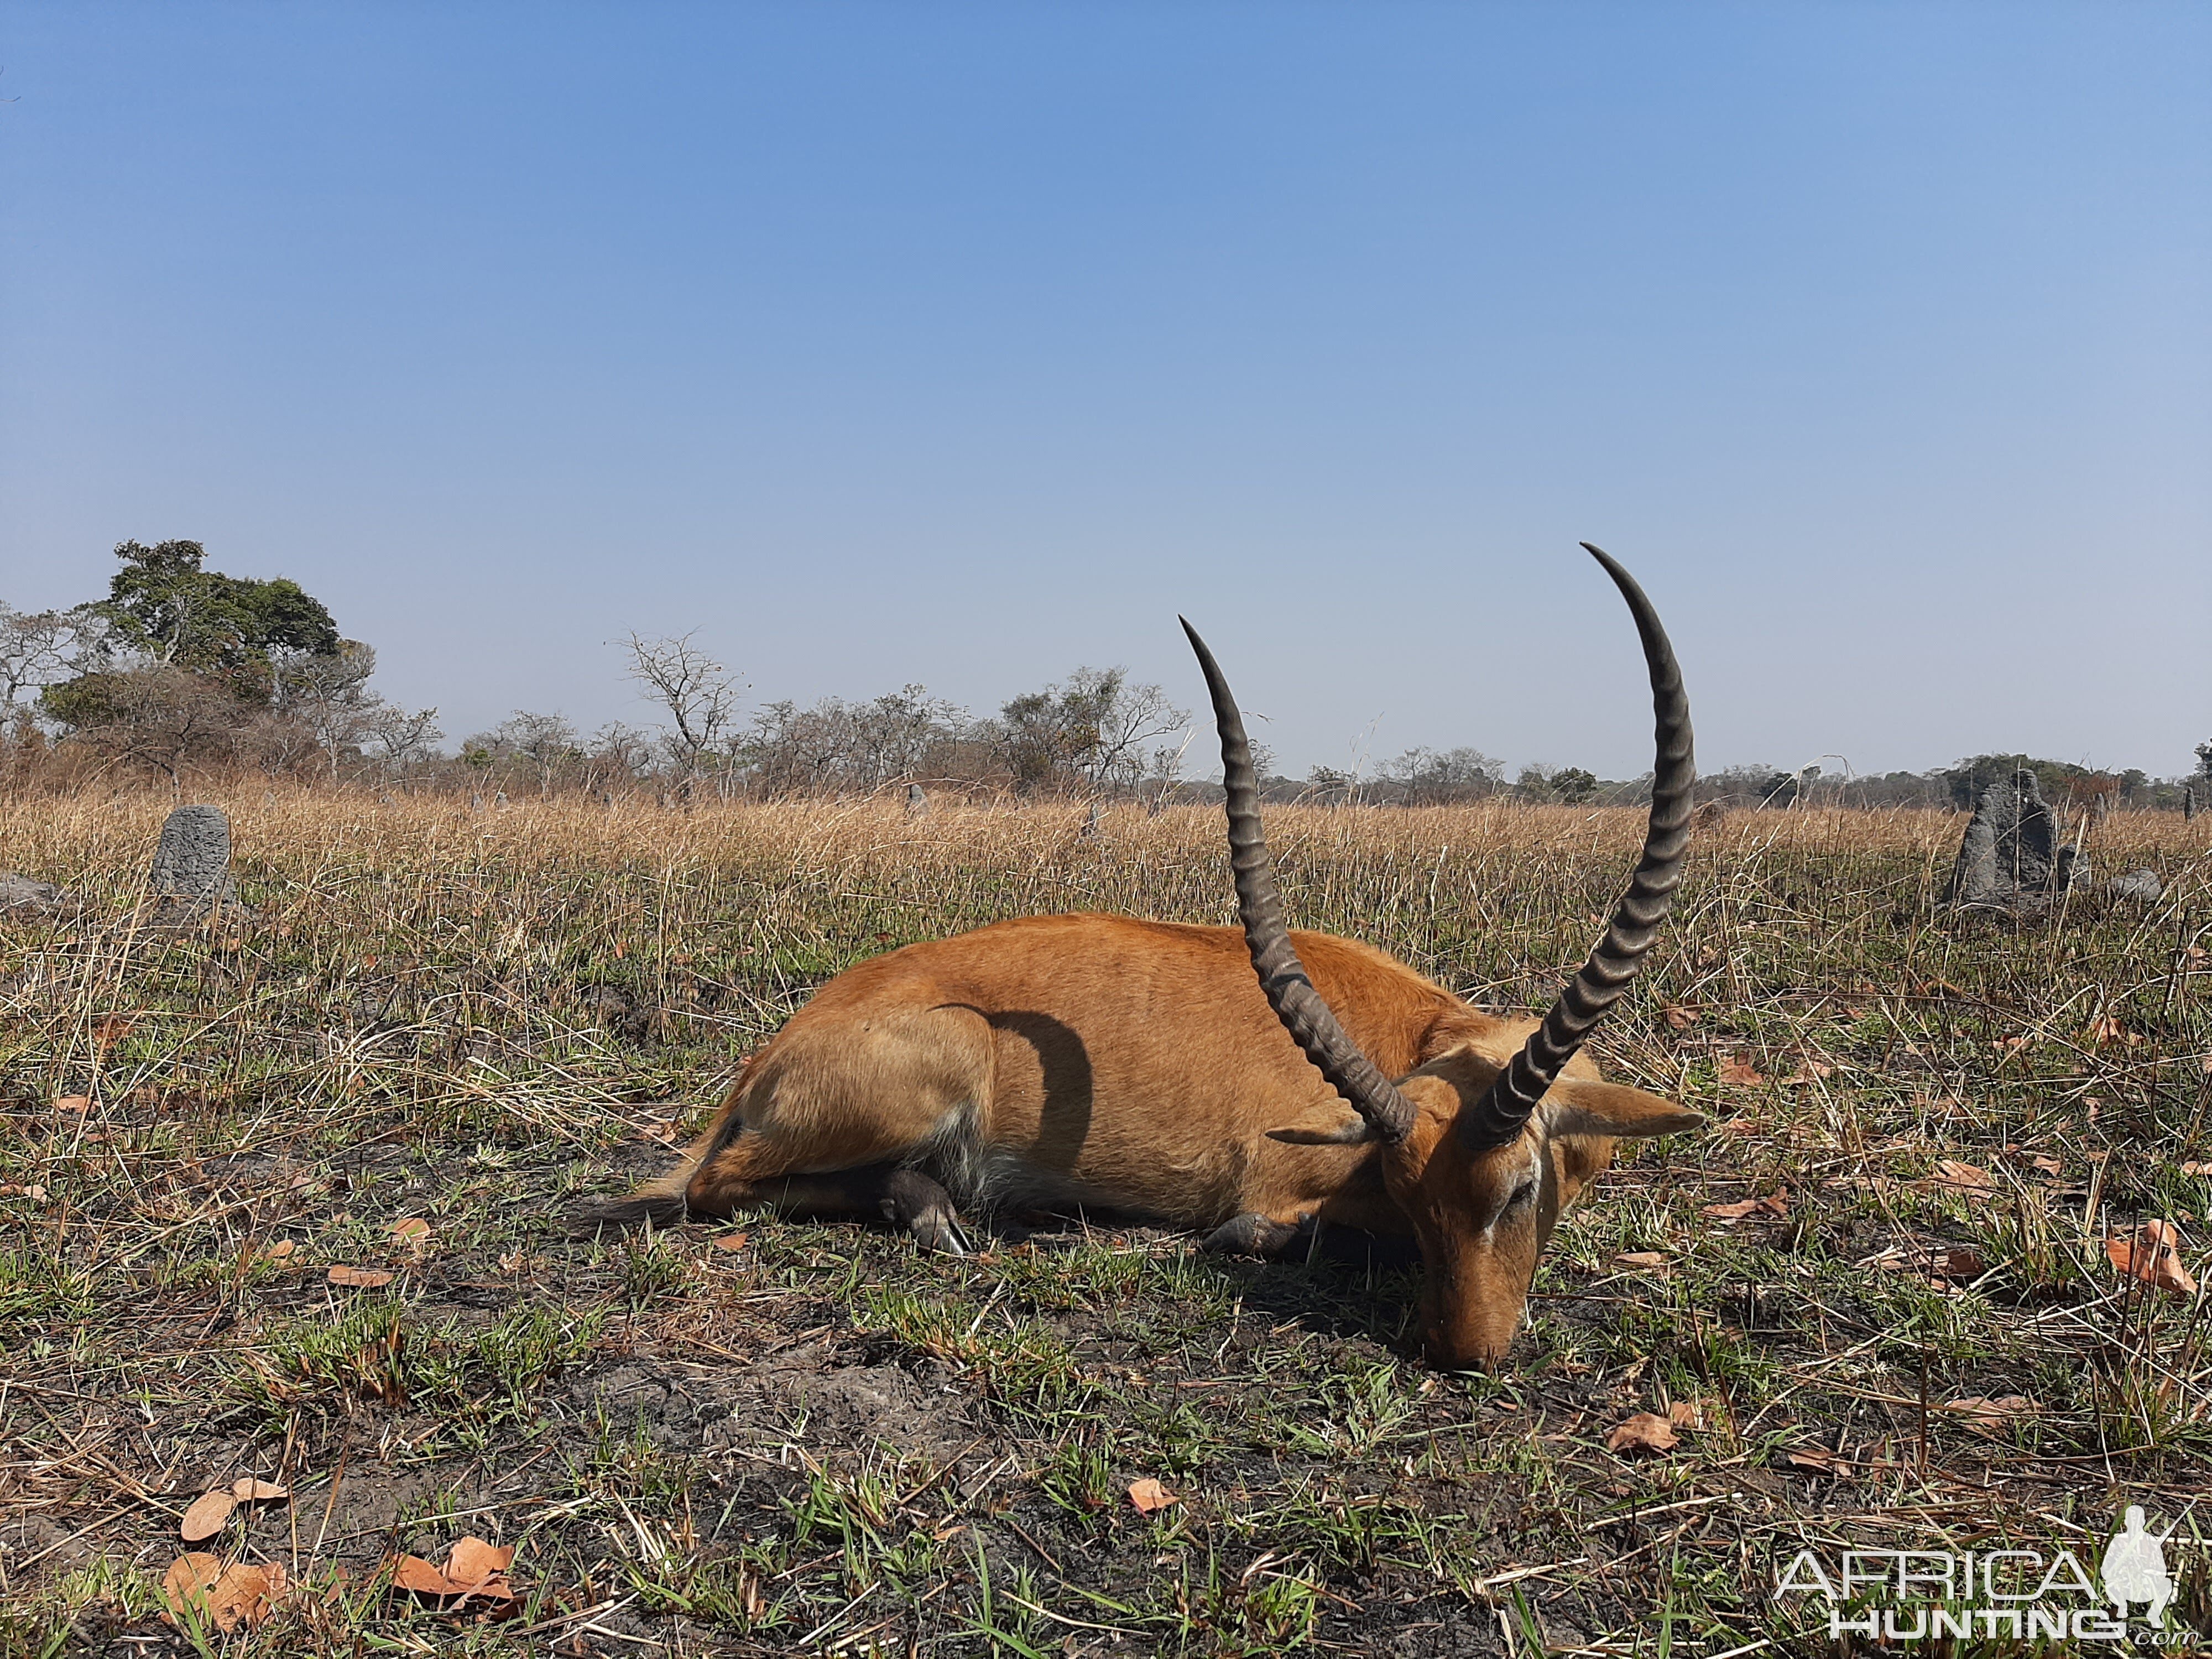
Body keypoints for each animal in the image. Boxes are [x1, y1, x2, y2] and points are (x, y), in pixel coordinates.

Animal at [588, 546, 1690, 1363]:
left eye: (1514, 1192)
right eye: (1419, 1199)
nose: (1467, 1352)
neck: (1418, 1032)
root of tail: (774, 1051)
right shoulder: (1287, 1181)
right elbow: (1274, 1228)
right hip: (937, 1065)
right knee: (717, 1189)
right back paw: (936, 1214)